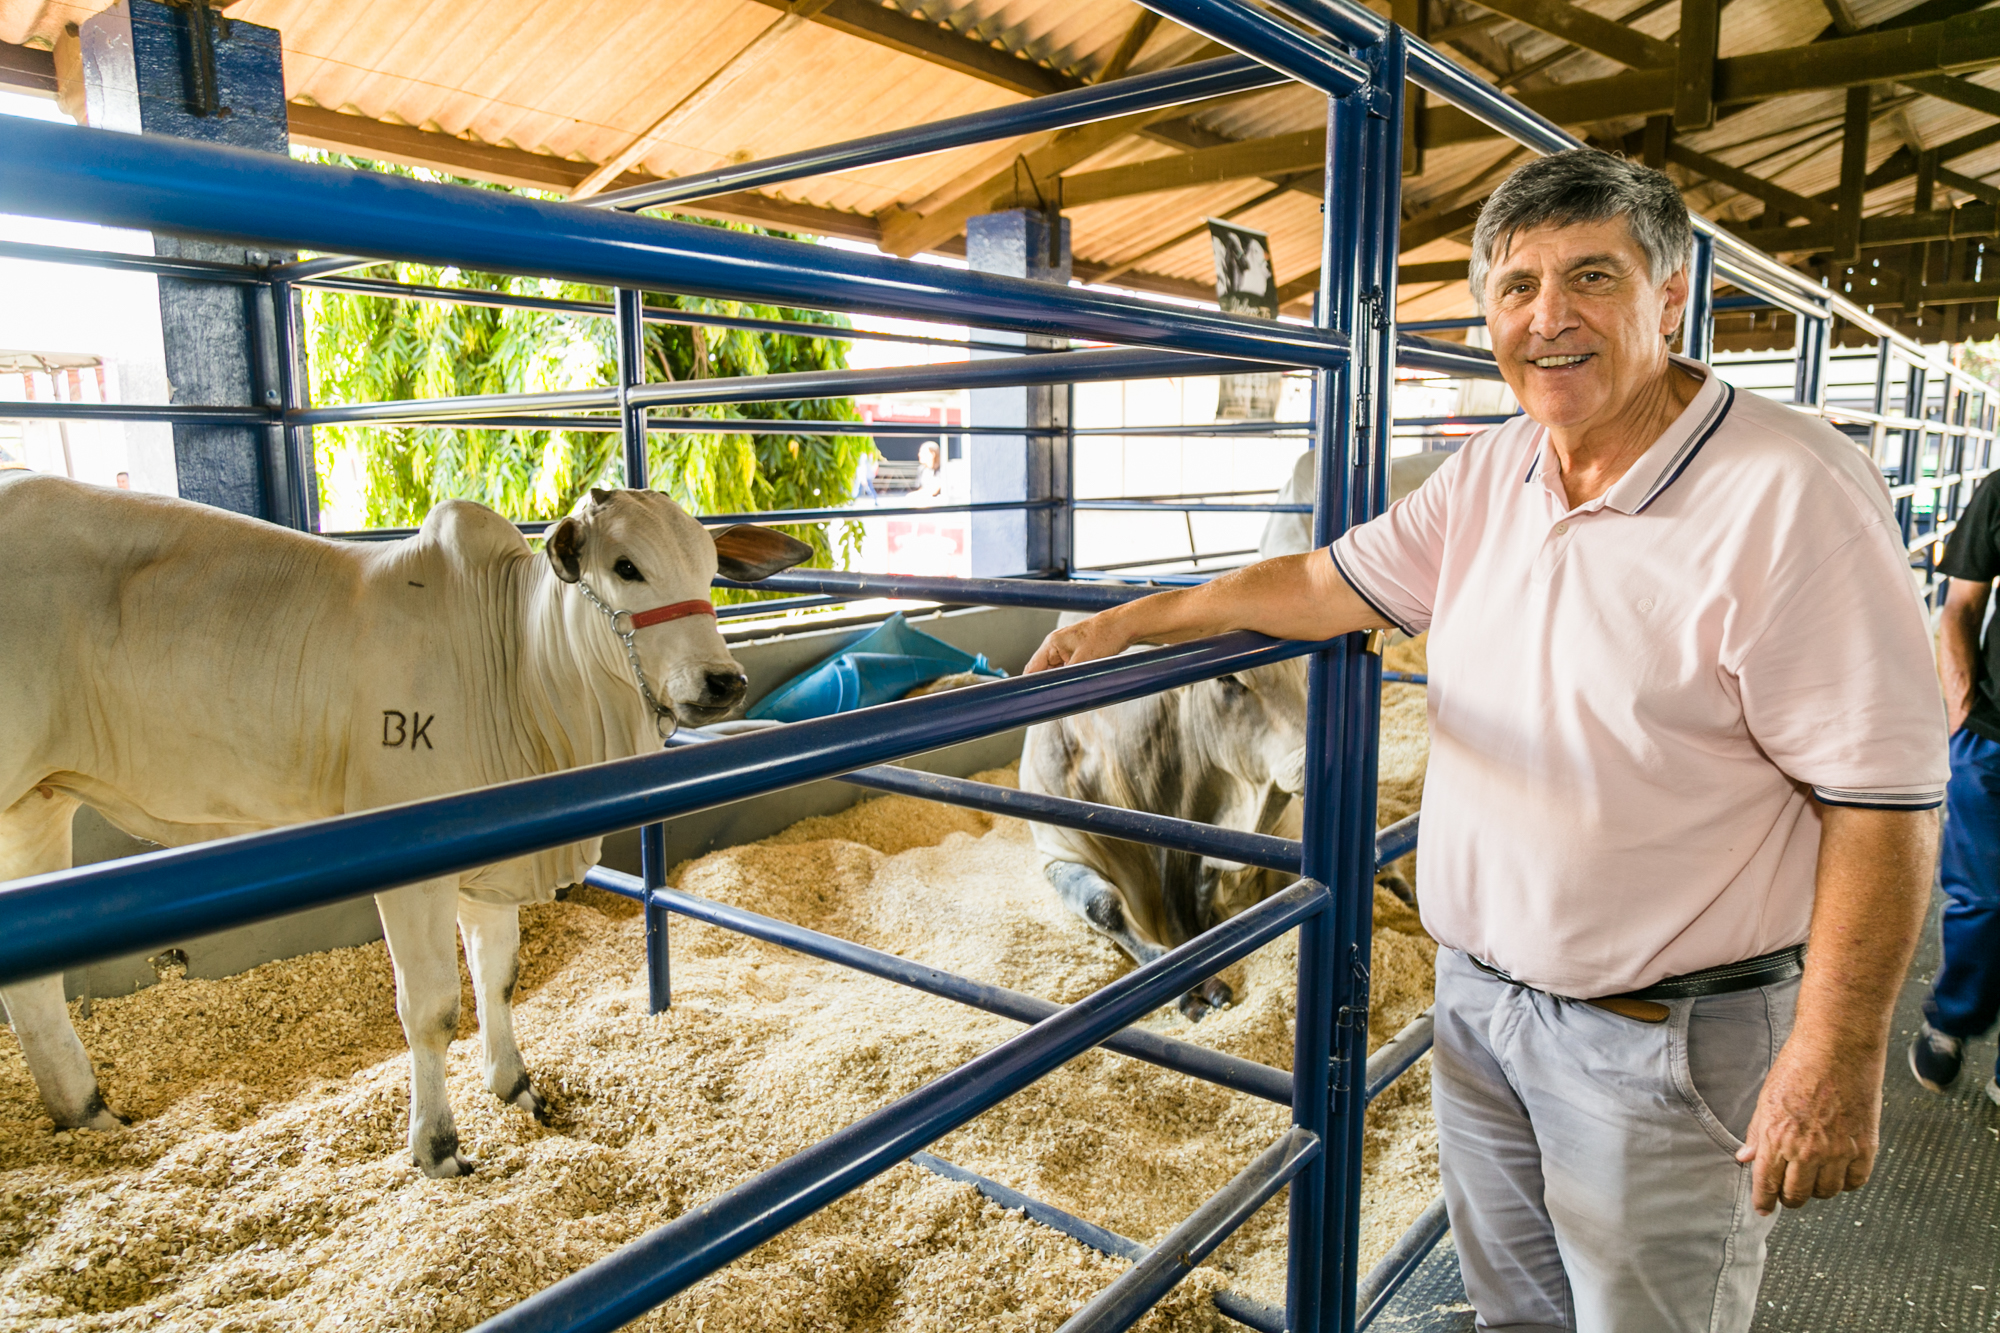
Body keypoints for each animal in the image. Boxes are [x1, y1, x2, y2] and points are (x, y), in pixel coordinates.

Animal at [1, 480, 812, 1176]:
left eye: (709, 569)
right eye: (625, 567)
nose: (724, 682)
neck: (523, 668)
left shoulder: (494, 865)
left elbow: (498, 977)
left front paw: (515, 1086)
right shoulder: (414, 870)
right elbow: (431, 1010)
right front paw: (438, 1145)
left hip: (36, 805)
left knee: (33, 984)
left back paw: (89, 1114)